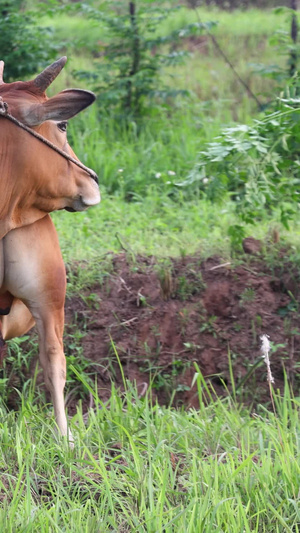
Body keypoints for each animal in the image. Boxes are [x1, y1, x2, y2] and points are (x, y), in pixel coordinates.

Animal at [0, 57, 101, 444]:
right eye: (63, 124)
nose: (93, 180)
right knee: (54, 359)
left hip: (48, 295)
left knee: (52, 358)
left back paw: (65, 440)